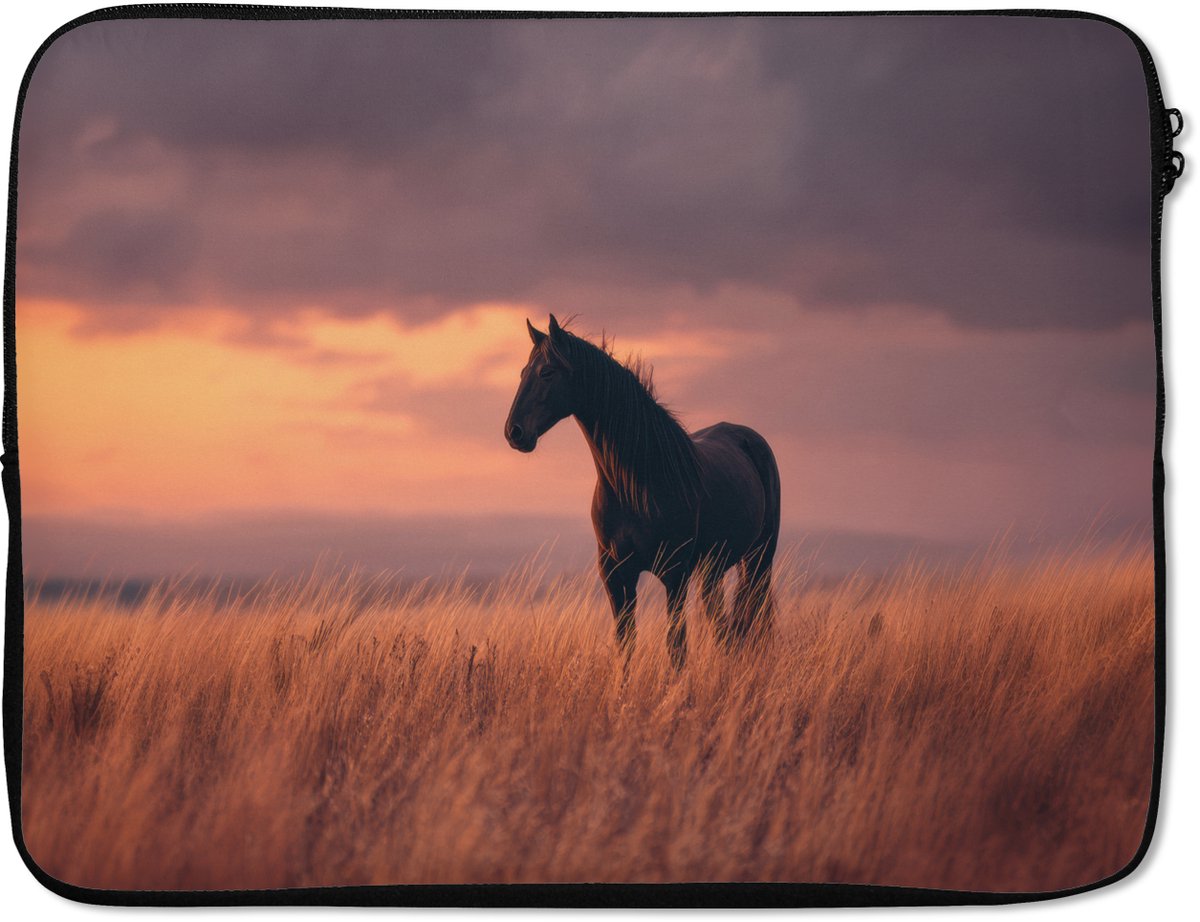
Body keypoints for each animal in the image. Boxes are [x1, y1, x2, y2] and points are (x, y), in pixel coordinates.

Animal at [504, 315, 781, 669]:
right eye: (523, 372)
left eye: (547, 372)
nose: (514, 432)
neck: (639, 483)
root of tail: (749, 437)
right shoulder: (615, 574)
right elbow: (626, 644)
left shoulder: (675, 574)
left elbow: (676, 646)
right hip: (713, 568)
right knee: (723, 625)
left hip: (759, 559)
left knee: (749, 617)